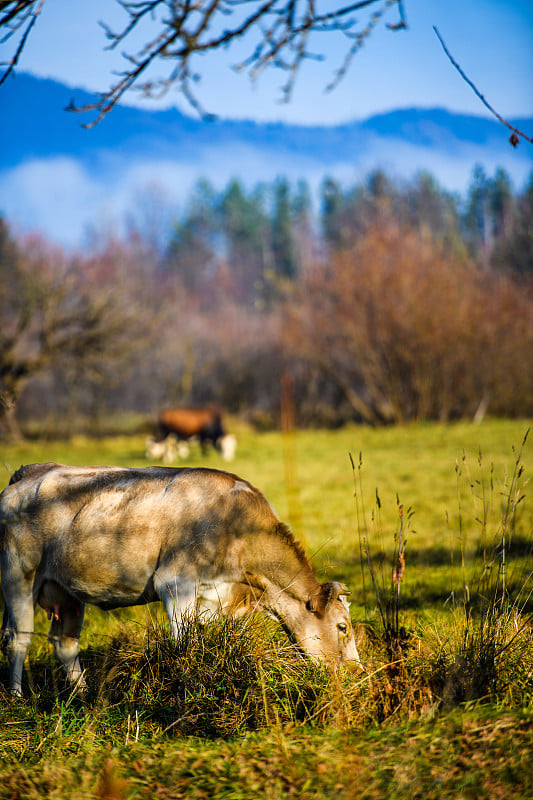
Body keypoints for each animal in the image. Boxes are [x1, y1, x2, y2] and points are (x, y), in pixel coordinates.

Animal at [0, 462, 362, 692]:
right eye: (342, 627)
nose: (357, 672)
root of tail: (29, 472)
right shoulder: (176, 584)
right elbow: (183, 644)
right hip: (18, 576)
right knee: (19, 638)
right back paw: (17, 697)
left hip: (67, 593)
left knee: (64, 644)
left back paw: (82, 696)